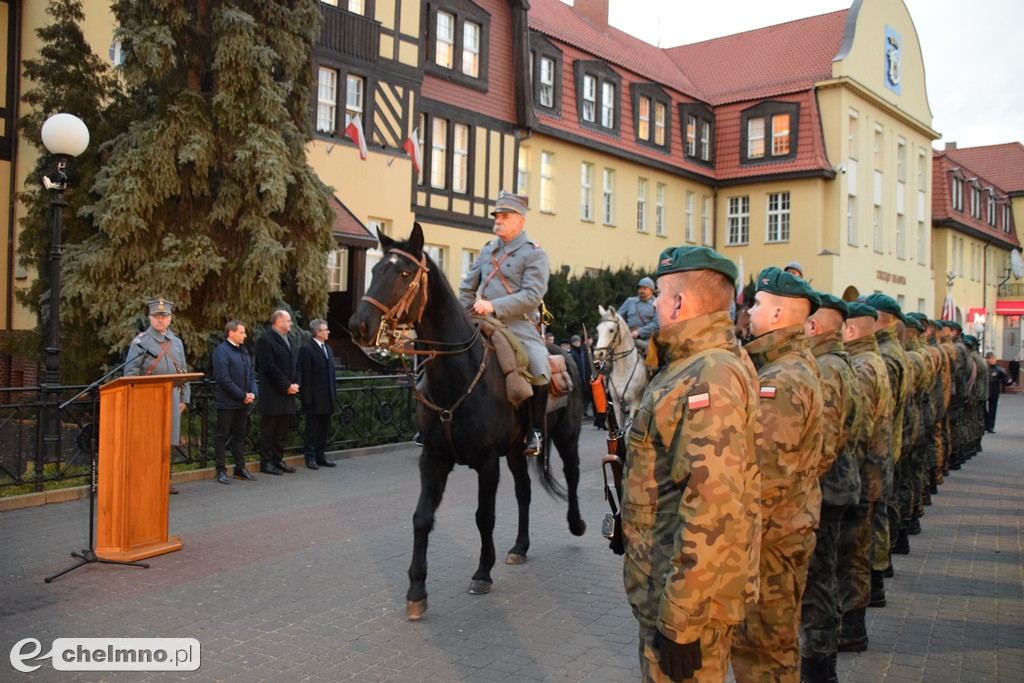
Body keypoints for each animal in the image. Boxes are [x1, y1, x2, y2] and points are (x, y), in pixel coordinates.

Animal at [348, 224, 585, 618]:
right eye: (375, 269)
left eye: (404, 273)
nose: (359, 326)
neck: (457, 374)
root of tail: (561, 351)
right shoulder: (433, 459)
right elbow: (421, 517)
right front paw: (416, 590)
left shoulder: (487, 462)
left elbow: (483, 516)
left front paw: (482, 572)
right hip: (517, 452)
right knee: (524, 492)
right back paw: (520, 547)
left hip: (567, 438)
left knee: (573, 474)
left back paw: (577, 523)